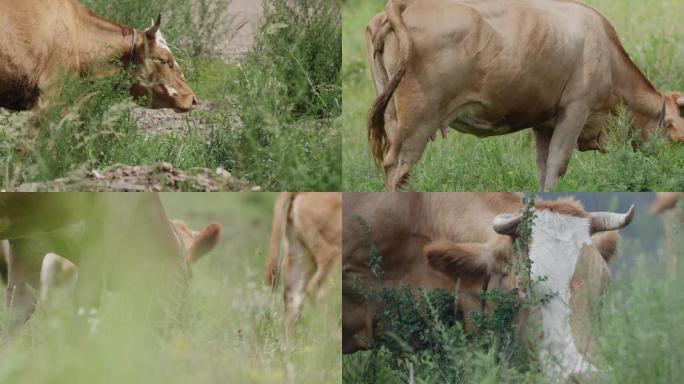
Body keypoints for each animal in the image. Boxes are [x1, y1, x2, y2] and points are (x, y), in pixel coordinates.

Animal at [366, 0, 684, 191]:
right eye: (677, 138)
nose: (673, 168)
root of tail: (404, 6)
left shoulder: (544, 121)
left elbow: (543, 167)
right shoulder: (576, 108)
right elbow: (558, 163)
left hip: (393, 115)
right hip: (418, 121)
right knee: (400, 168)